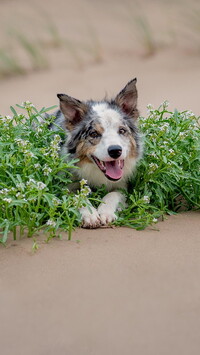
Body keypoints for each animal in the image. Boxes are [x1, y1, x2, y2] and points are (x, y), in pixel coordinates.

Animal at [52, 78, 141, 228]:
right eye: (94, 134)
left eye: (122, 130)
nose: (115, 150)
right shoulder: (66, 185)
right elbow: (78, 197)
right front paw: (90, 215)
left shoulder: (121, 185)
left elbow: (113, 195)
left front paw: (106, 212)